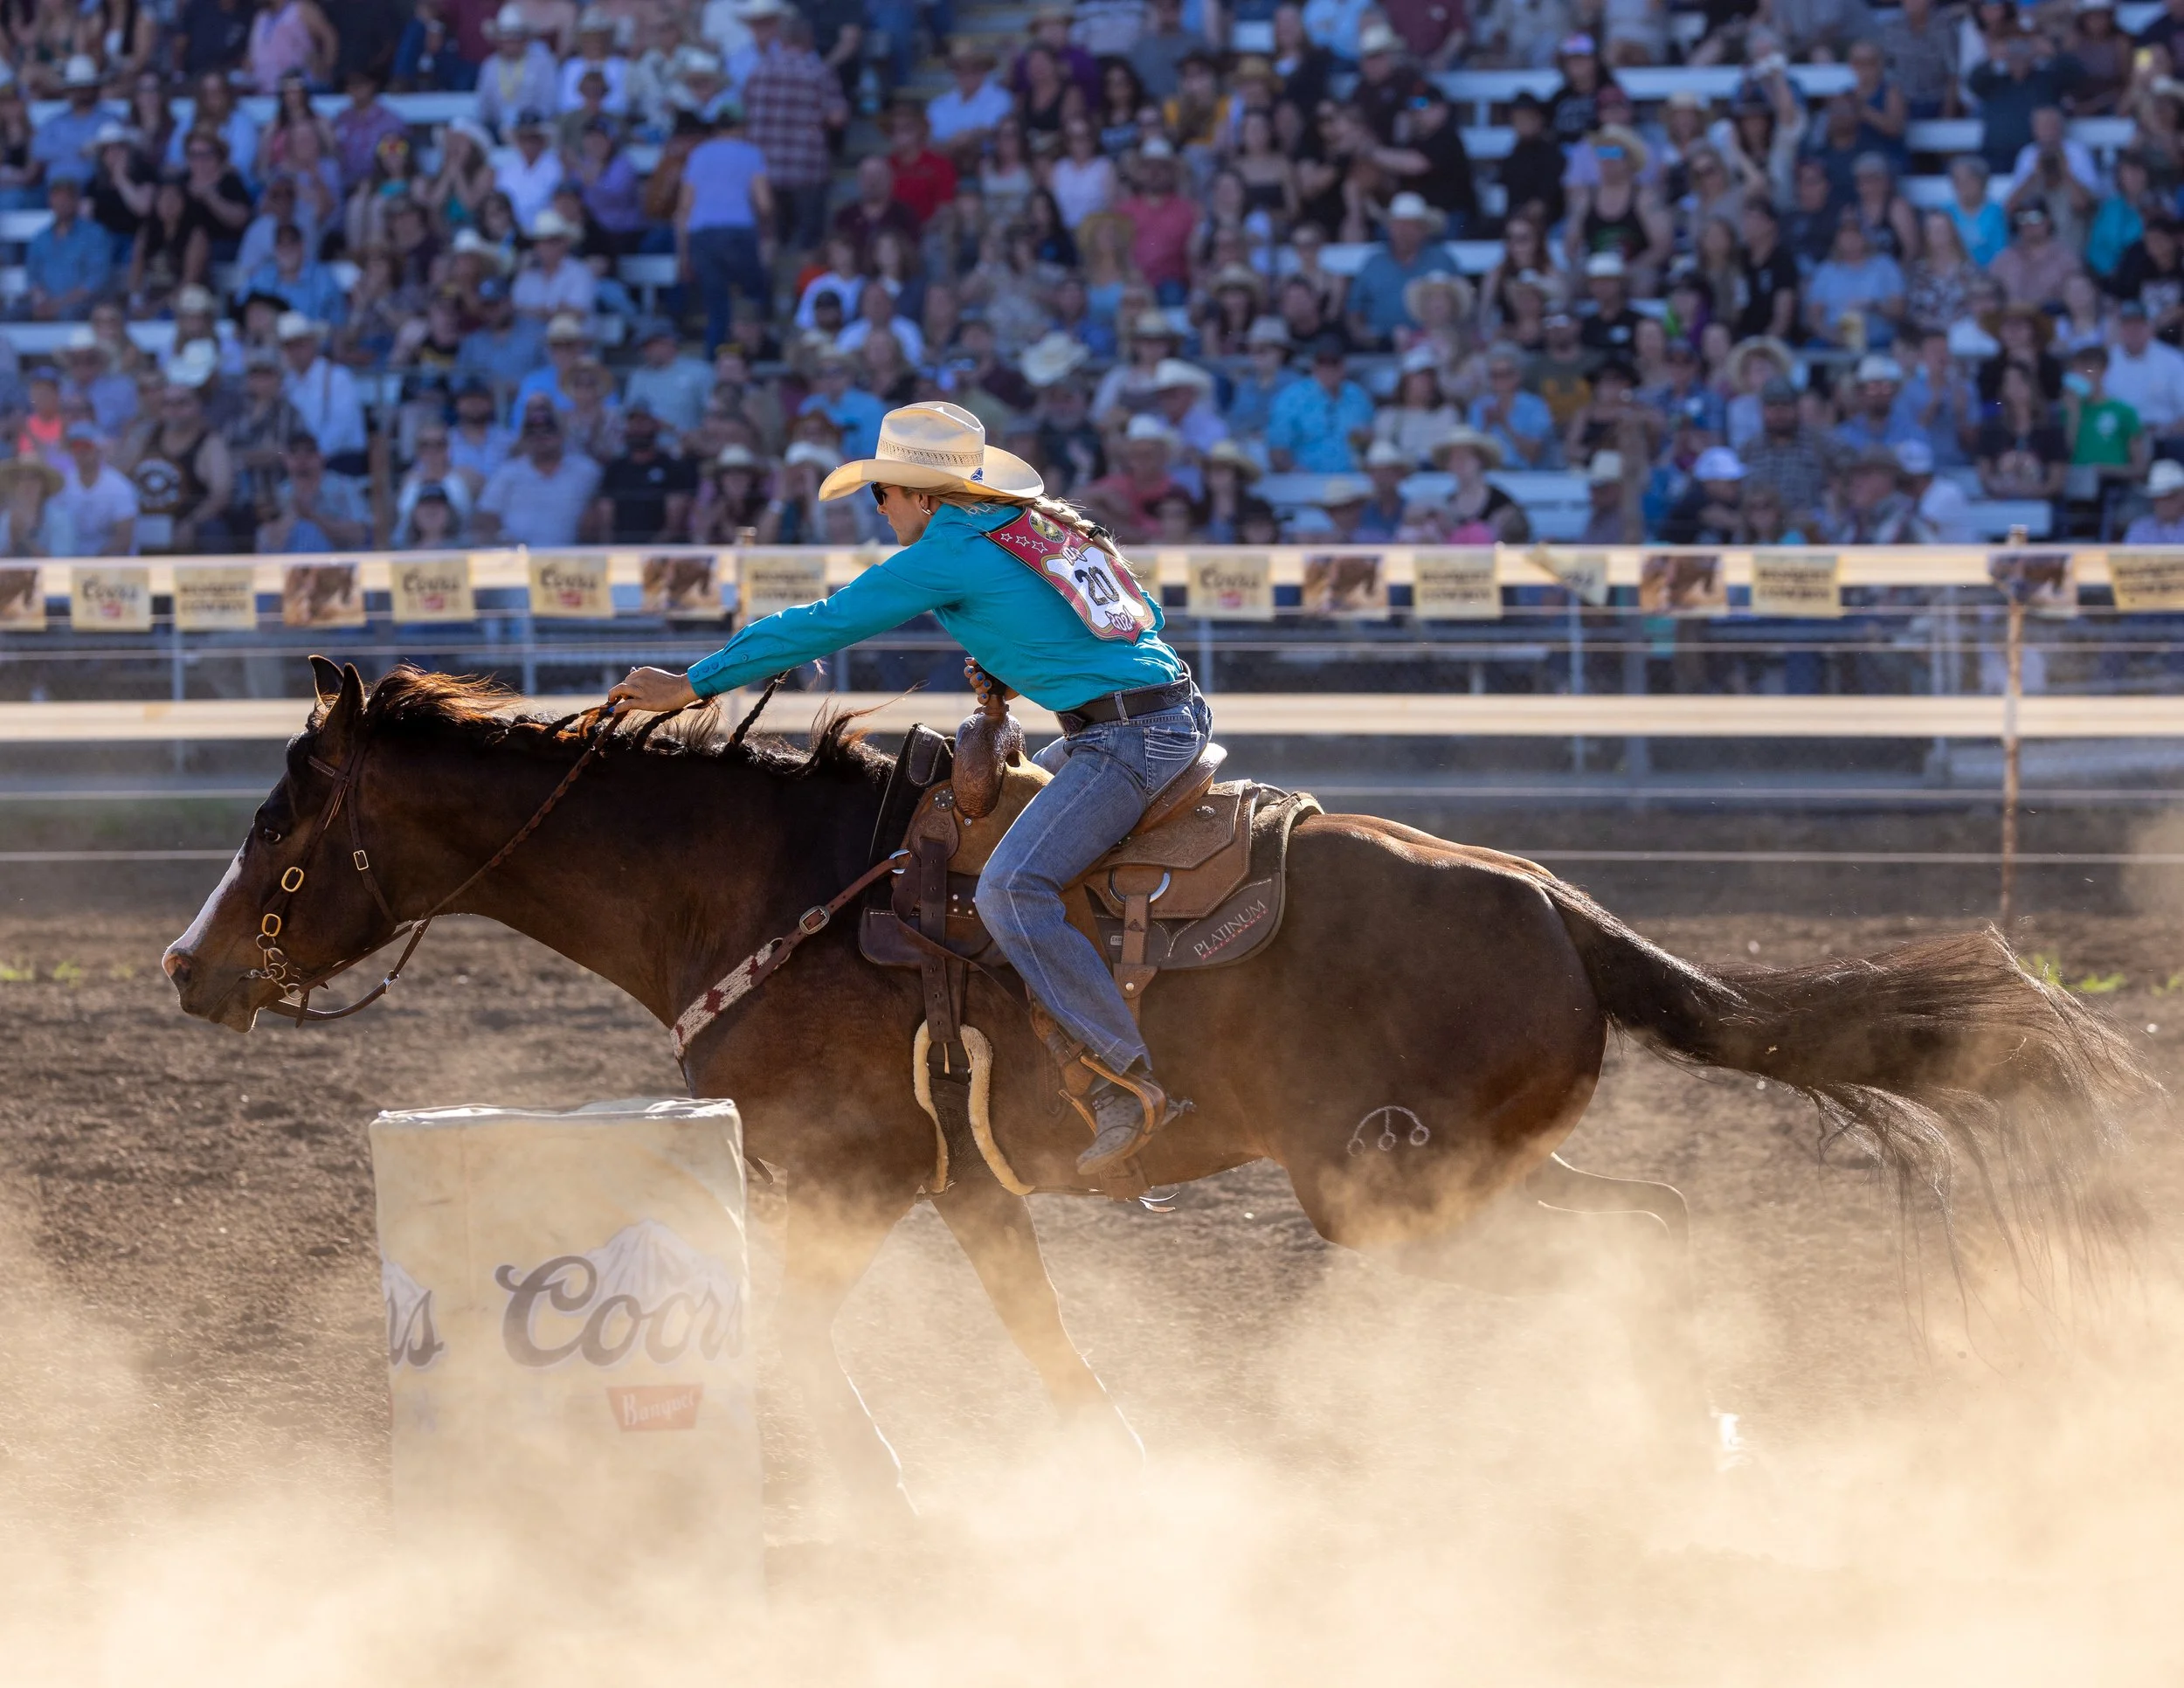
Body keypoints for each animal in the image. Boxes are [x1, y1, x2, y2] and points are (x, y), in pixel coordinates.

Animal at [163, 662, 2154, 1517]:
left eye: (281, 818)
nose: (188, 967)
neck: (762, 883)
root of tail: (1562, 909)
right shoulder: (953, 1186)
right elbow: (1031, 1336)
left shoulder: (849, 1174)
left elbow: (812, 1335)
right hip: (1449, 1169)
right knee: (1647, 1225)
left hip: (1385, 1173)